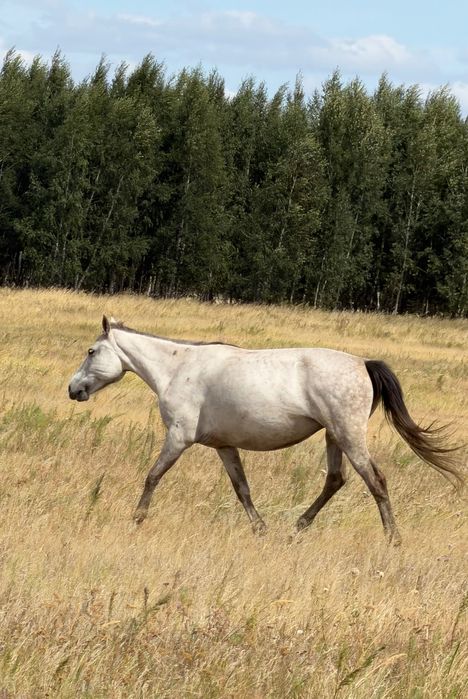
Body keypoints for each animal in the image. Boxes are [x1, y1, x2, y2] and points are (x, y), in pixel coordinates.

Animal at [68, 316, 464, 543]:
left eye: (91, 351)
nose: (74, 389)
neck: (177, 369)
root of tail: (363, 364)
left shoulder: (178, 438)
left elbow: (153, 476)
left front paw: (136, 520)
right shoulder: (224, 446)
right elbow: (241, 488)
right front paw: (260, 529)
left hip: (349, 435)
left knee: (375, 480)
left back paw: (393, 539)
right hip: (333, 435)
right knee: (335, 480)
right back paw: (297, 528)